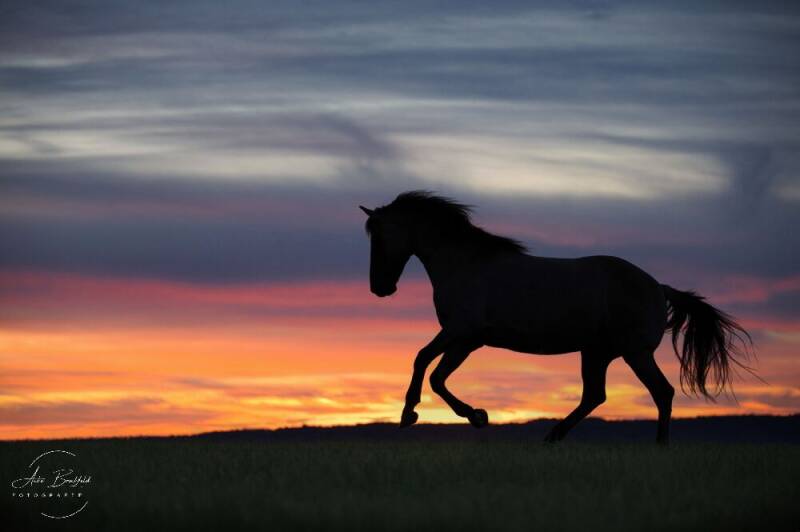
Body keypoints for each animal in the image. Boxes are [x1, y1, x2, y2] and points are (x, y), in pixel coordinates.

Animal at [359, 191, 753, 444]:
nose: (380, 288)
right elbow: (426, 364)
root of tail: (659, 286)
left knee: (661, 393)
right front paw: (414, 414)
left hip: (634, 353)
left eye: (379, 236)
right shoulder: (462, 338)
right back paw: (553, 436)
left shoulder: (463, 335)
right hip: (597, 353)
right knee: (595, 396)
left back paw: (658, 447)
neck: (466, 265)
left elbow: (434, 373)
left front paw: (470, 416)